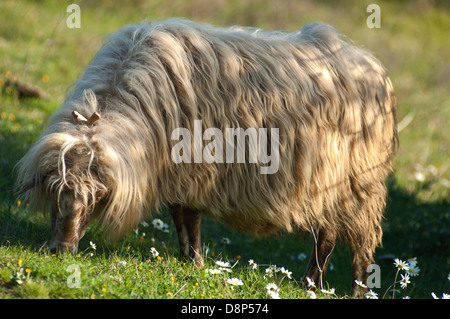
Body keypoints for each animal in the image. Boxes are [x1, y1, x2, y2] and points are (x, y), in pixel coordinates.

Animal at [15, 18, 398, 298]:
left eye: (96, 197)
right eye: (54, 190)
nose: (61, 251)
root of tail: (373, 65)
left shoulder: (194, 169)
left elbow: (191, 217)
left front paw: (196, 262)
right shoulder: (174, 174)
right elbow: (178, 215)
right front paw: (188, 259)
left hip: (360, 185)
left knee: (356, 245)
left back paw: (353, 291)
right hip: (331, 185)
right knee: (328, 234)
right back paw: (310, 286)